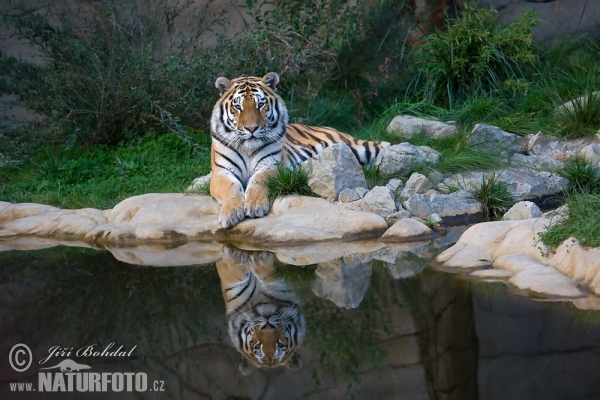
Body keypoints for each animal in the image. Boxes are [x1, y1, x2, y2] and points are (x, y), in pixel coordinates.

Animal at [212, 72, 394, 228]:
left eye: (261, 104)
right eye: (238, 106)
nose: (251, 128)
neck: (248, 148)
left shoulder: (271, 165)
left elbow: (259, 180)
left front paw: (255, 205)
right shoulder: (221, 172)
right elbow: (230, 188)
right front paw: (230, 214)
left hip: (357, 147)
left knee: (384, 147)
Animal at [217, 247, 304, 376]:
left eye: (280, 344)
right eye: (257, 346)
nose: (268, 326)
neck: (262, 301)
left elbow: (274, 277)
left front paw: (260, 261)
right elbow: (232, 276)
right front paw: (236, 257)